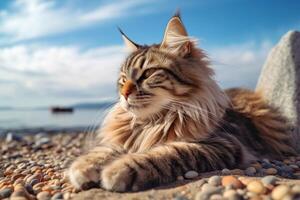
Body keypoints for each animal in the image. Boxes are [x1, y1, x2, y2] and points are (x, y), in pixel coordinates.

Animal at [68, 12, 296, 192]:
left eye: (148, 74)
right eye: (123, 79)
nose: (124, 94)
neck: (152, 122)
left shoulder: (223, 143)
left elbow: (166, 153)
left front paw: (118, 170)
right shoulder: (125, 138)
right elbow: (106, 149)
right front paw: (83, 167)